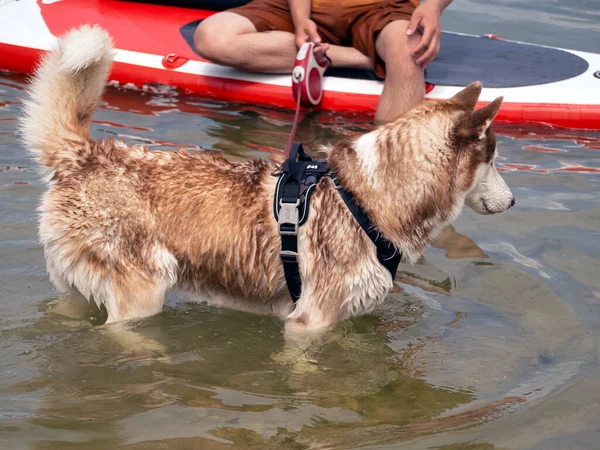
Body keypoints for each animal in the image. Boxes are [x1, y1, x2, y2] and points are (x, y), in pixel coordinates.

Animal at [21, 25, 512, 334]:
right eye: (493, 158)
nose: (511, 204)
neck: (368, 200)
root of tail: (84, 154)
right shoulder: (309, 324)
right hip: (140, 295)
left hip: (77, 288)